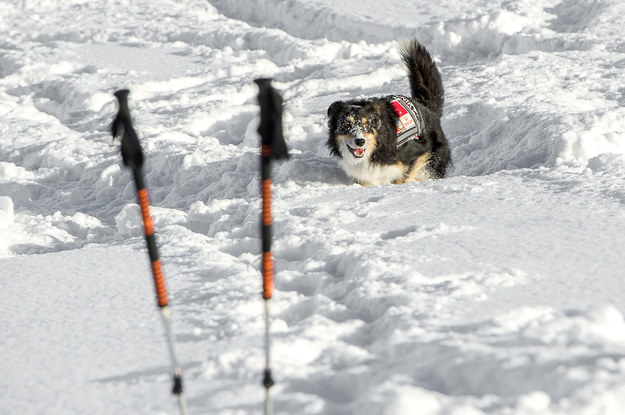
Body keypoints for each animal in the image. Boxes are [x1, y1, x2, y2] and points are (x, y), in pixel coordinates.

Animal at [324, 40, 450, 187]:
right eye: (346, 125)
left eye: (367, 125)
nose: (360, 141)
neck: (376, 148)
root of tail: (426, 106)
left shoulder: (418, 149)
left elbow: (402, 177)